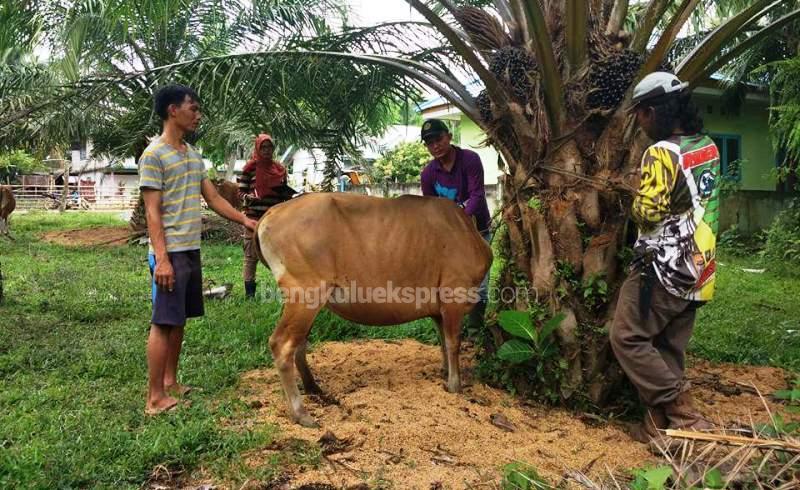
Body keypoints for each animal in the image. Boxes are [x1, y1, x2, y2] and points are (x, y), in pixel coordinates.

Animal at [256, 191, 494, 424]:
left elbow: (443, 342)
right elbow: (454, 343)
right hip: (306, 293)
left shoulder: (438, 310)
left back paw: (313, 388)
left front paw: (444, 373)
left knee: (299, 342)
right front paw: (455, 385)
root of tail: (274, 210)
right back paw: (301, 413)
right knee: (282, 344)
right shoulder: (453, 296)